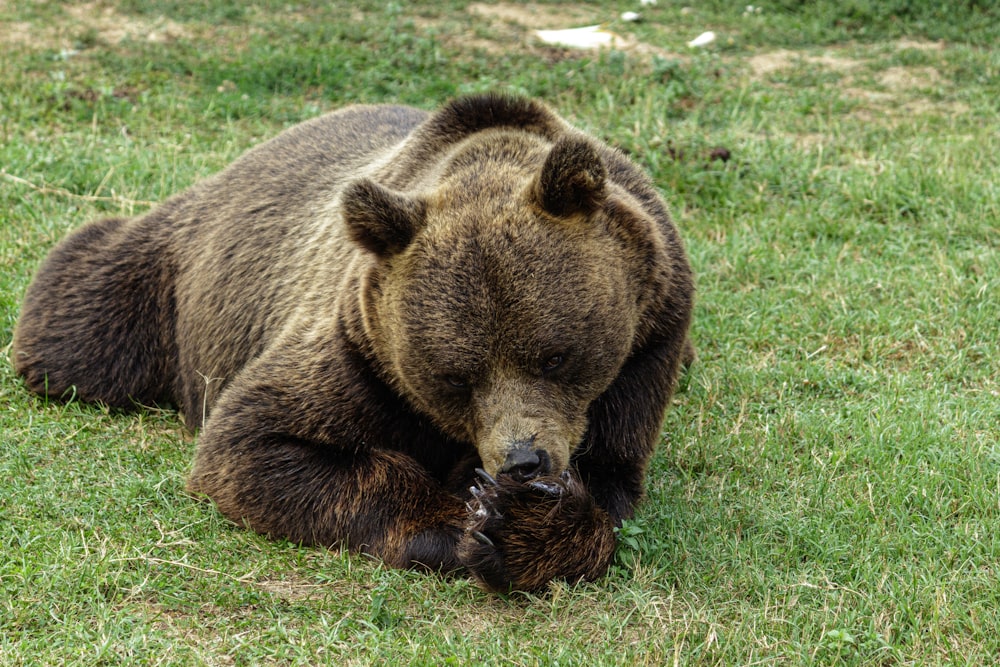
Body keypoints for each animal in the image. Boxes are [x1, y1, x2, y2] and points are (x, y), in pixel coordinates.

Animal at [11, 91, 692, 592]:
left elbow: (609, 479)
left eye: (555, 355)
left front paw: (524, 521)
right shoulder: (357, 349)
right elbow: (256, 445)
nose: (523, 461)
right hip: (169, 276)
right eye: (455, 377)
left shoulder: (648, 341)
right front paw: (475, 519)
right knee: (80, 323)